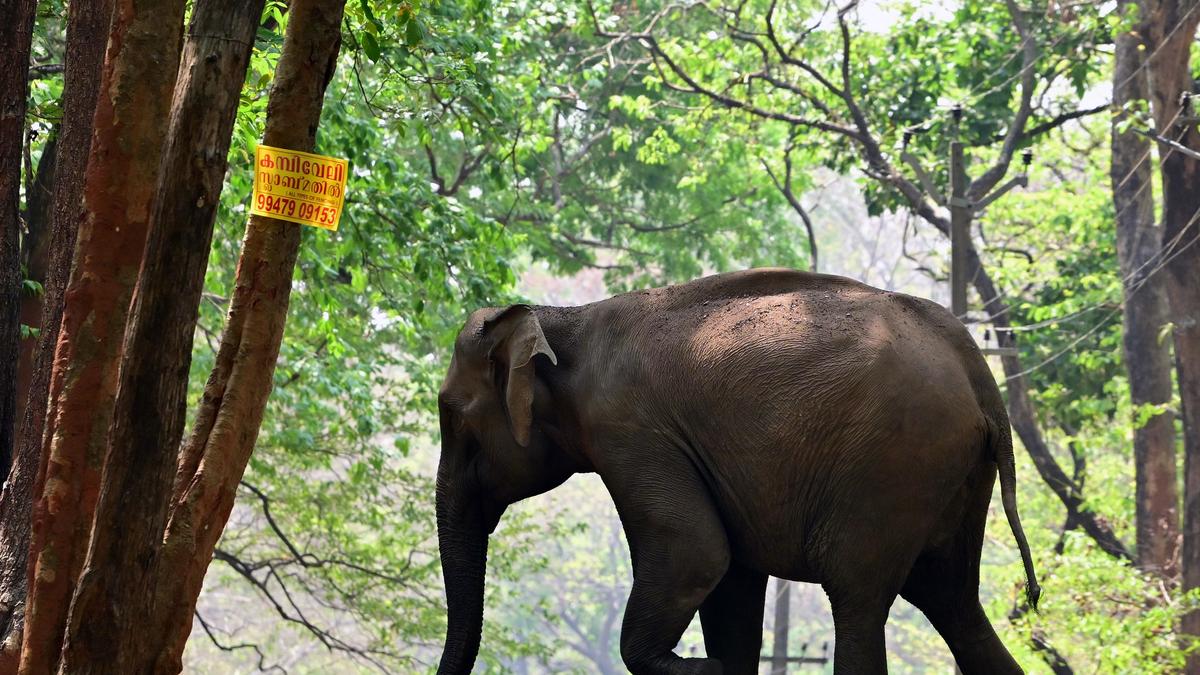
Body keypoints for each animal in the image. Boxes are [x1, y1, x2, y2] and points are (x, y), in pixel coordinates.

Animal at [435, 267, 1039, 675]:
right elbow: (731, 584)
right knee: (953, 603)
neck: (562, 319)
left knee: (859, 602)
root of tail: (976, 369)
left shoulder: (630, 430)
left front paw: (702, 667)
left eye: (455, 418)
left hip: (894, 464)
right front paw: (718, 664)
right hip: (948, 474)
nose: (698, 665)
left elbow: (697, 551)